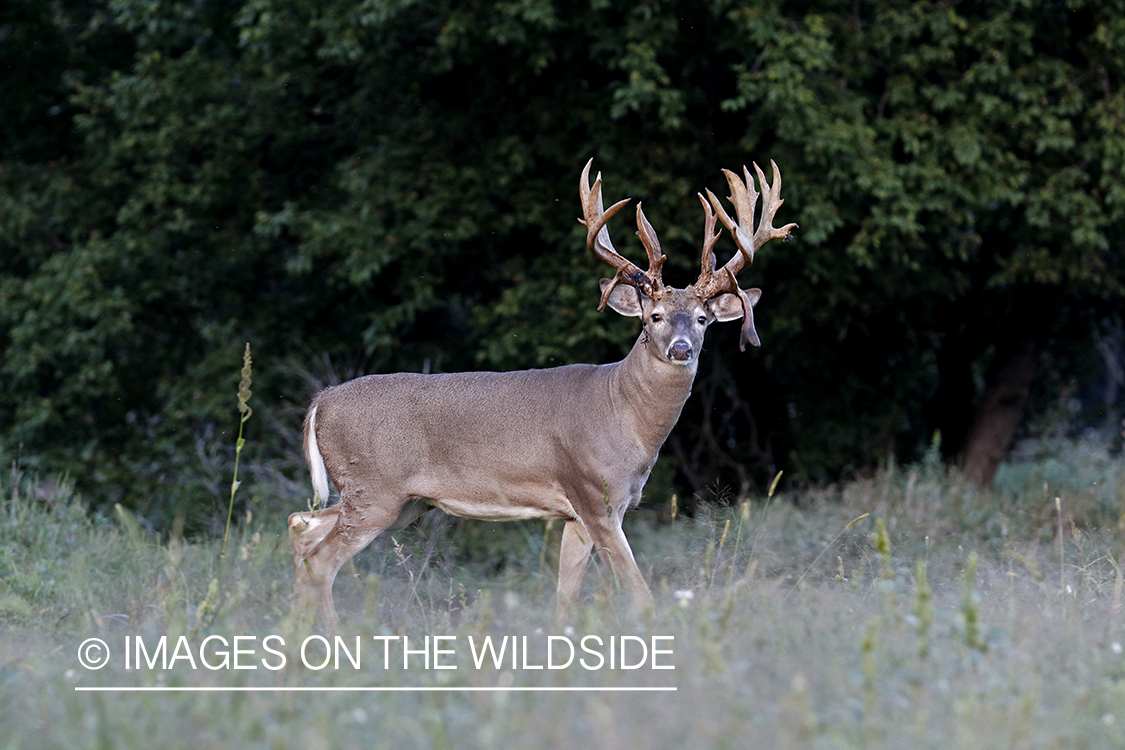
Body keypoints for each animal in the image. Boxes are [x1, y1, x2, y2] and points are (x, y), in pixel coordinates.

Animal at [290, 159, 801, 634]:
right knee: (320, 560)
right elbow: (638, 593)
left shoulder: (577, 514)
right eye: (653, 316)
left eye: (701, 318)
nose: (680, 348)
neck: (624, 415)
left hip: (400, 502)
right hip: (375, 490)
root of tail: (321, 401)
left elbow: (564, 597)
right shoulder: (595, 496)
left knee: (301, 526)